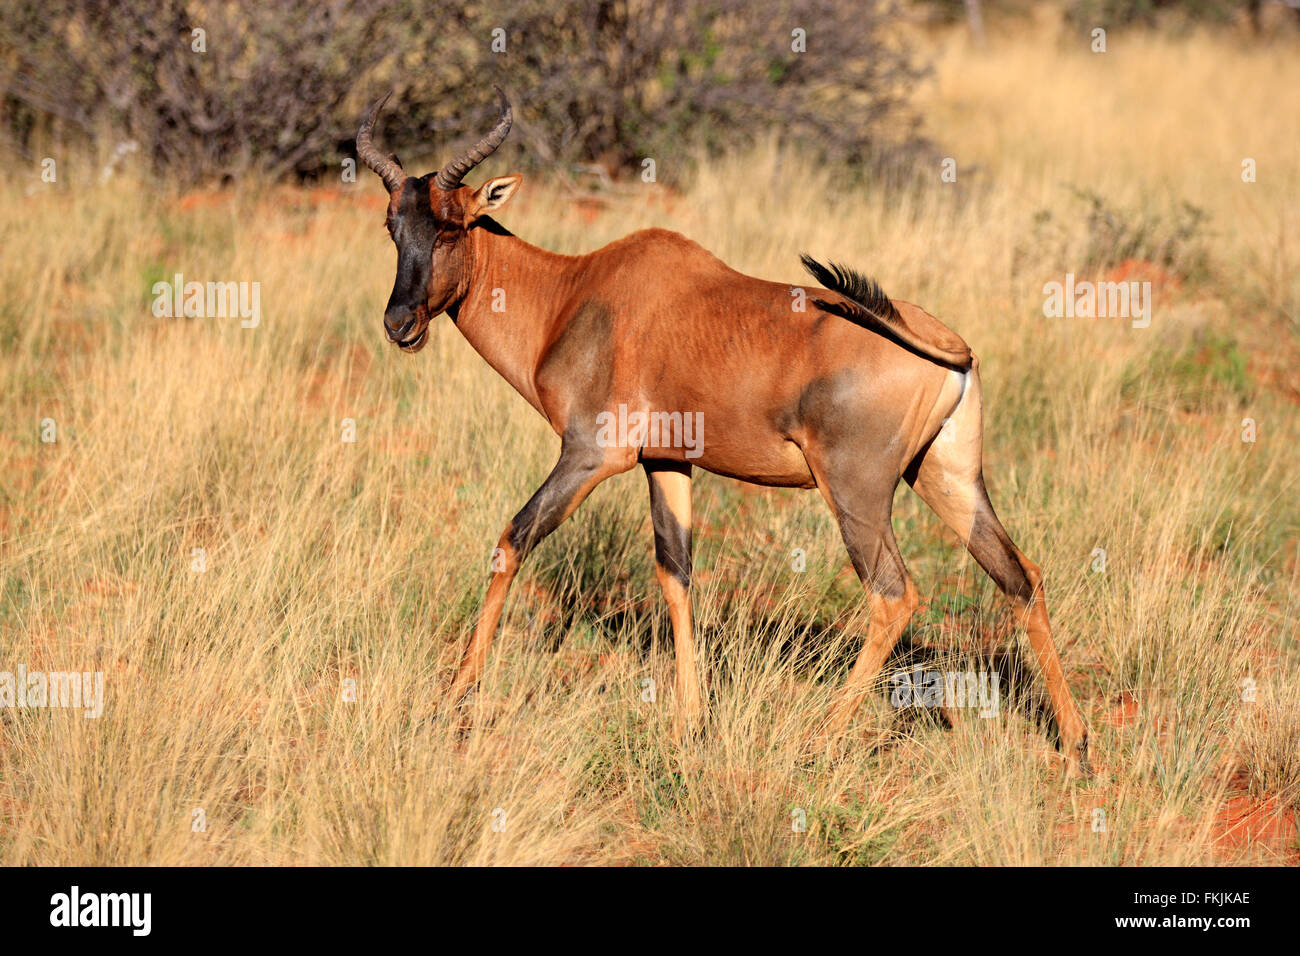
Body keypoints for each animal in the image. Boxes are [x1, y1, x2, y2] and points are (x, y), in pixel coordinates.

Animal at [353, 87, 1086, 780]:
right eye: (392, 224)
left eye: (451, 225)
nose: (399, 324)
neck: (577, 292)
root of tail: (944, 342)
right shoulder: (666, 462)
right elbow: (675, 571)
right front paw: (690, 725)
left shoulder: (591, 455)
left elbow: (512, 540)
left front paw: (452, 702)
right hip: (947, 477)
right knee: (1020, 578)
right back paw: (1076, 745)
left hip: (857, 492)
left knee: (894, 595)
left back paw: (817, 744)